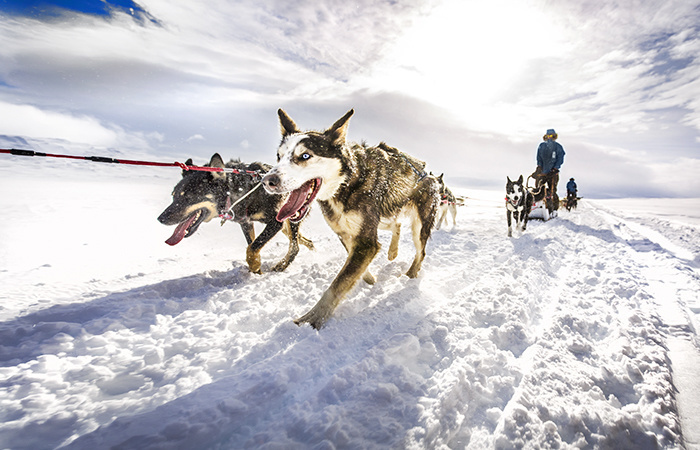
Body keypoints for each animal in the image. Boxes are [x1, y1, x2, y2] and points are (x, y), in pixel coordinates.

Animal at [160, 153, 314, 272]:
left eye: (189, 197)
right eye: (174, 196)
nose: (160, 218)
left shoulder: (275, 222)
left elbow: (253, 247)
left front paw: (255, 265)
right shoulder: (246, 223)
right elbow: (251, 245)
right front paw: (256, 268)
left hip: (291, 218)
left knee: (295, 246)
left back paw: (282, 265)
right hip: (286, 226)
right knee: (303, 241)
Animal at [262, 107, 438, 328]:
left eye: (304, 155)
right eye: (279, 156)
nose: (267, 181)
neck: (347, 183)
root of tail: (430, 174)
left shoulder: (366, 241)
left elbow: (338, 284)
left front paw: (312, 319)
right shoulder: (345, 233)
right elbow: (352, 265)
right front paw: (369, 278)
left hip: (419, 225)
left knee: (421, 251)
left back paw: (411, 274)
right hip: (384, 216)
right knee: (396, 225)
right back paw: (392, 252)